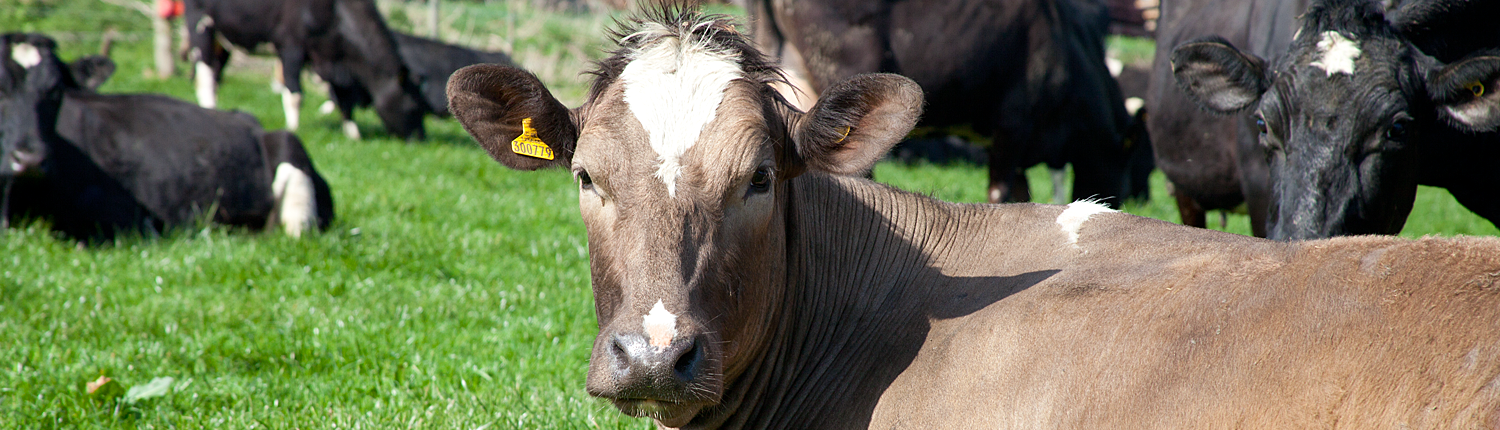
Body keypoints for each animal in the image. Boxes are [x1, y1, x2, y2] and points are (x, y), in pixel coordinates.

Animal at [183, 0, 427, 140]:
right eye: (414, 107)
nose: (421, 138)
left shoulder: (335, 58)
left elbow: (345, 100)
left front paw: (353, 134)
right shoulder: (291, 47)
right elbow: (295, 94)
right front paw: (294, 127)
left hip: (225, 37)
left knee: (215, 74)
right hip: (202, 25)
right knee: (205, 73)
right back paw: (209, 108)